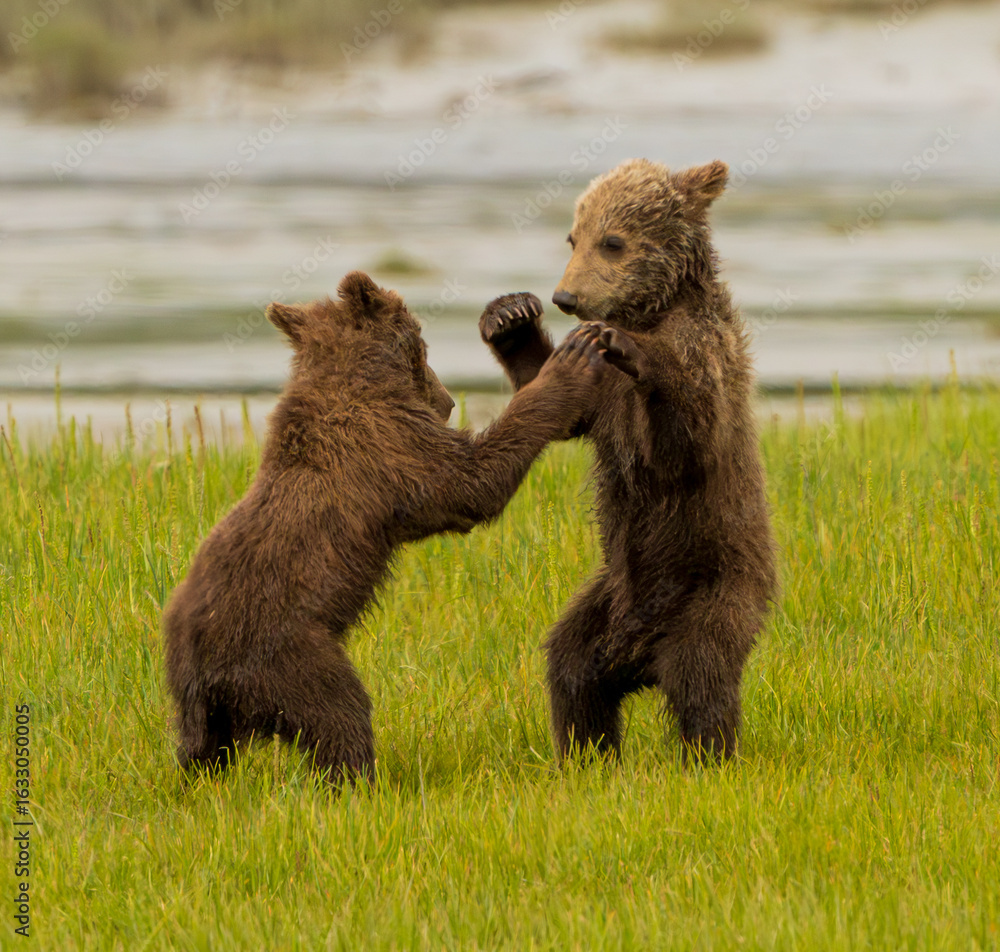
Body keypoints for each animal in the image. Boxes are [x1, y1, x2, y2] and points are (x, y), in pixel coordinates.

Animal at [163, 270, 608, 784]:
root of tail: (200, 667)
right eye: (423, 343)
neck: (357, 380)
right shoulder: (390, 446)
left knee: (201, 753)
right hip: (287, 653)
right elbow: (472, 484)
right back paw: (359, 780)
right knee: (339, 713)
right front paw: (569, 365)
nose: (448, 401)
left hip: (198, 701)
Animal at [479, 158, 777, 763]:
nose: (565, 297)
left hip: (716, 585)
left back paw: (707, 755)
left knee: (700, 673)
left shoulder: (704, 353)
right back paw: (586, 754)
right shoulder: (603, 398)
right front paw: (510, 315)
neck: (656, 309)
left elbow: (683, 442)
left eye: (612, 242)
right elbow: (563, 408)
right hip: (606, 599)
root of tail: (641, 657)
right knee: (570, 667)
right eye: (574, 237)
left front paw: (630, 347)